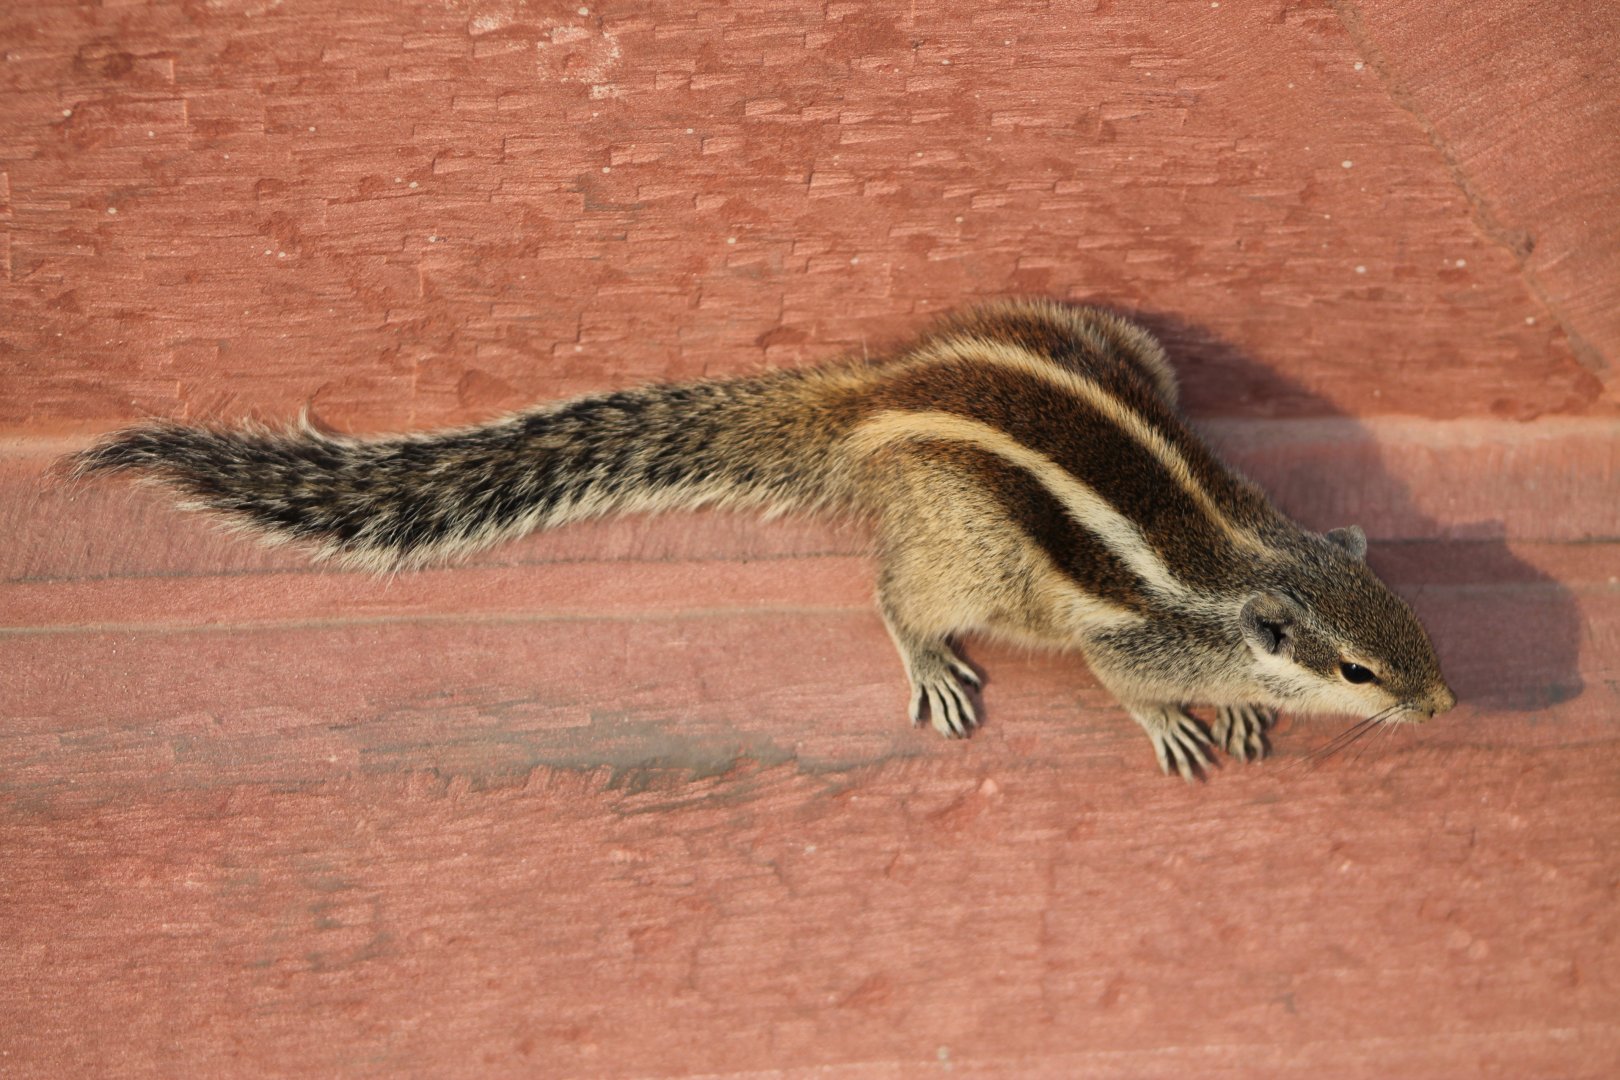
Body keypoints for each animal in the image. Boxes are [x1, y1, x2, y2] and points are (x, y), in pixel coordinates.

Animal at [70, 300, 1456, 778]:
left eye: (1417, 634)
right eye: (1360, 671)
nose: (1447, 704)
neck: (1249, 567)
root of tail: (875, 398)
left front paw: (1245, 712)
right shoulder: (1129, 637)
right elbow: (1128, 683)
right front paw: (1182, 726)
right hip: (968, 557)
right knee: (898, 595)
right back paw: (929, 664)